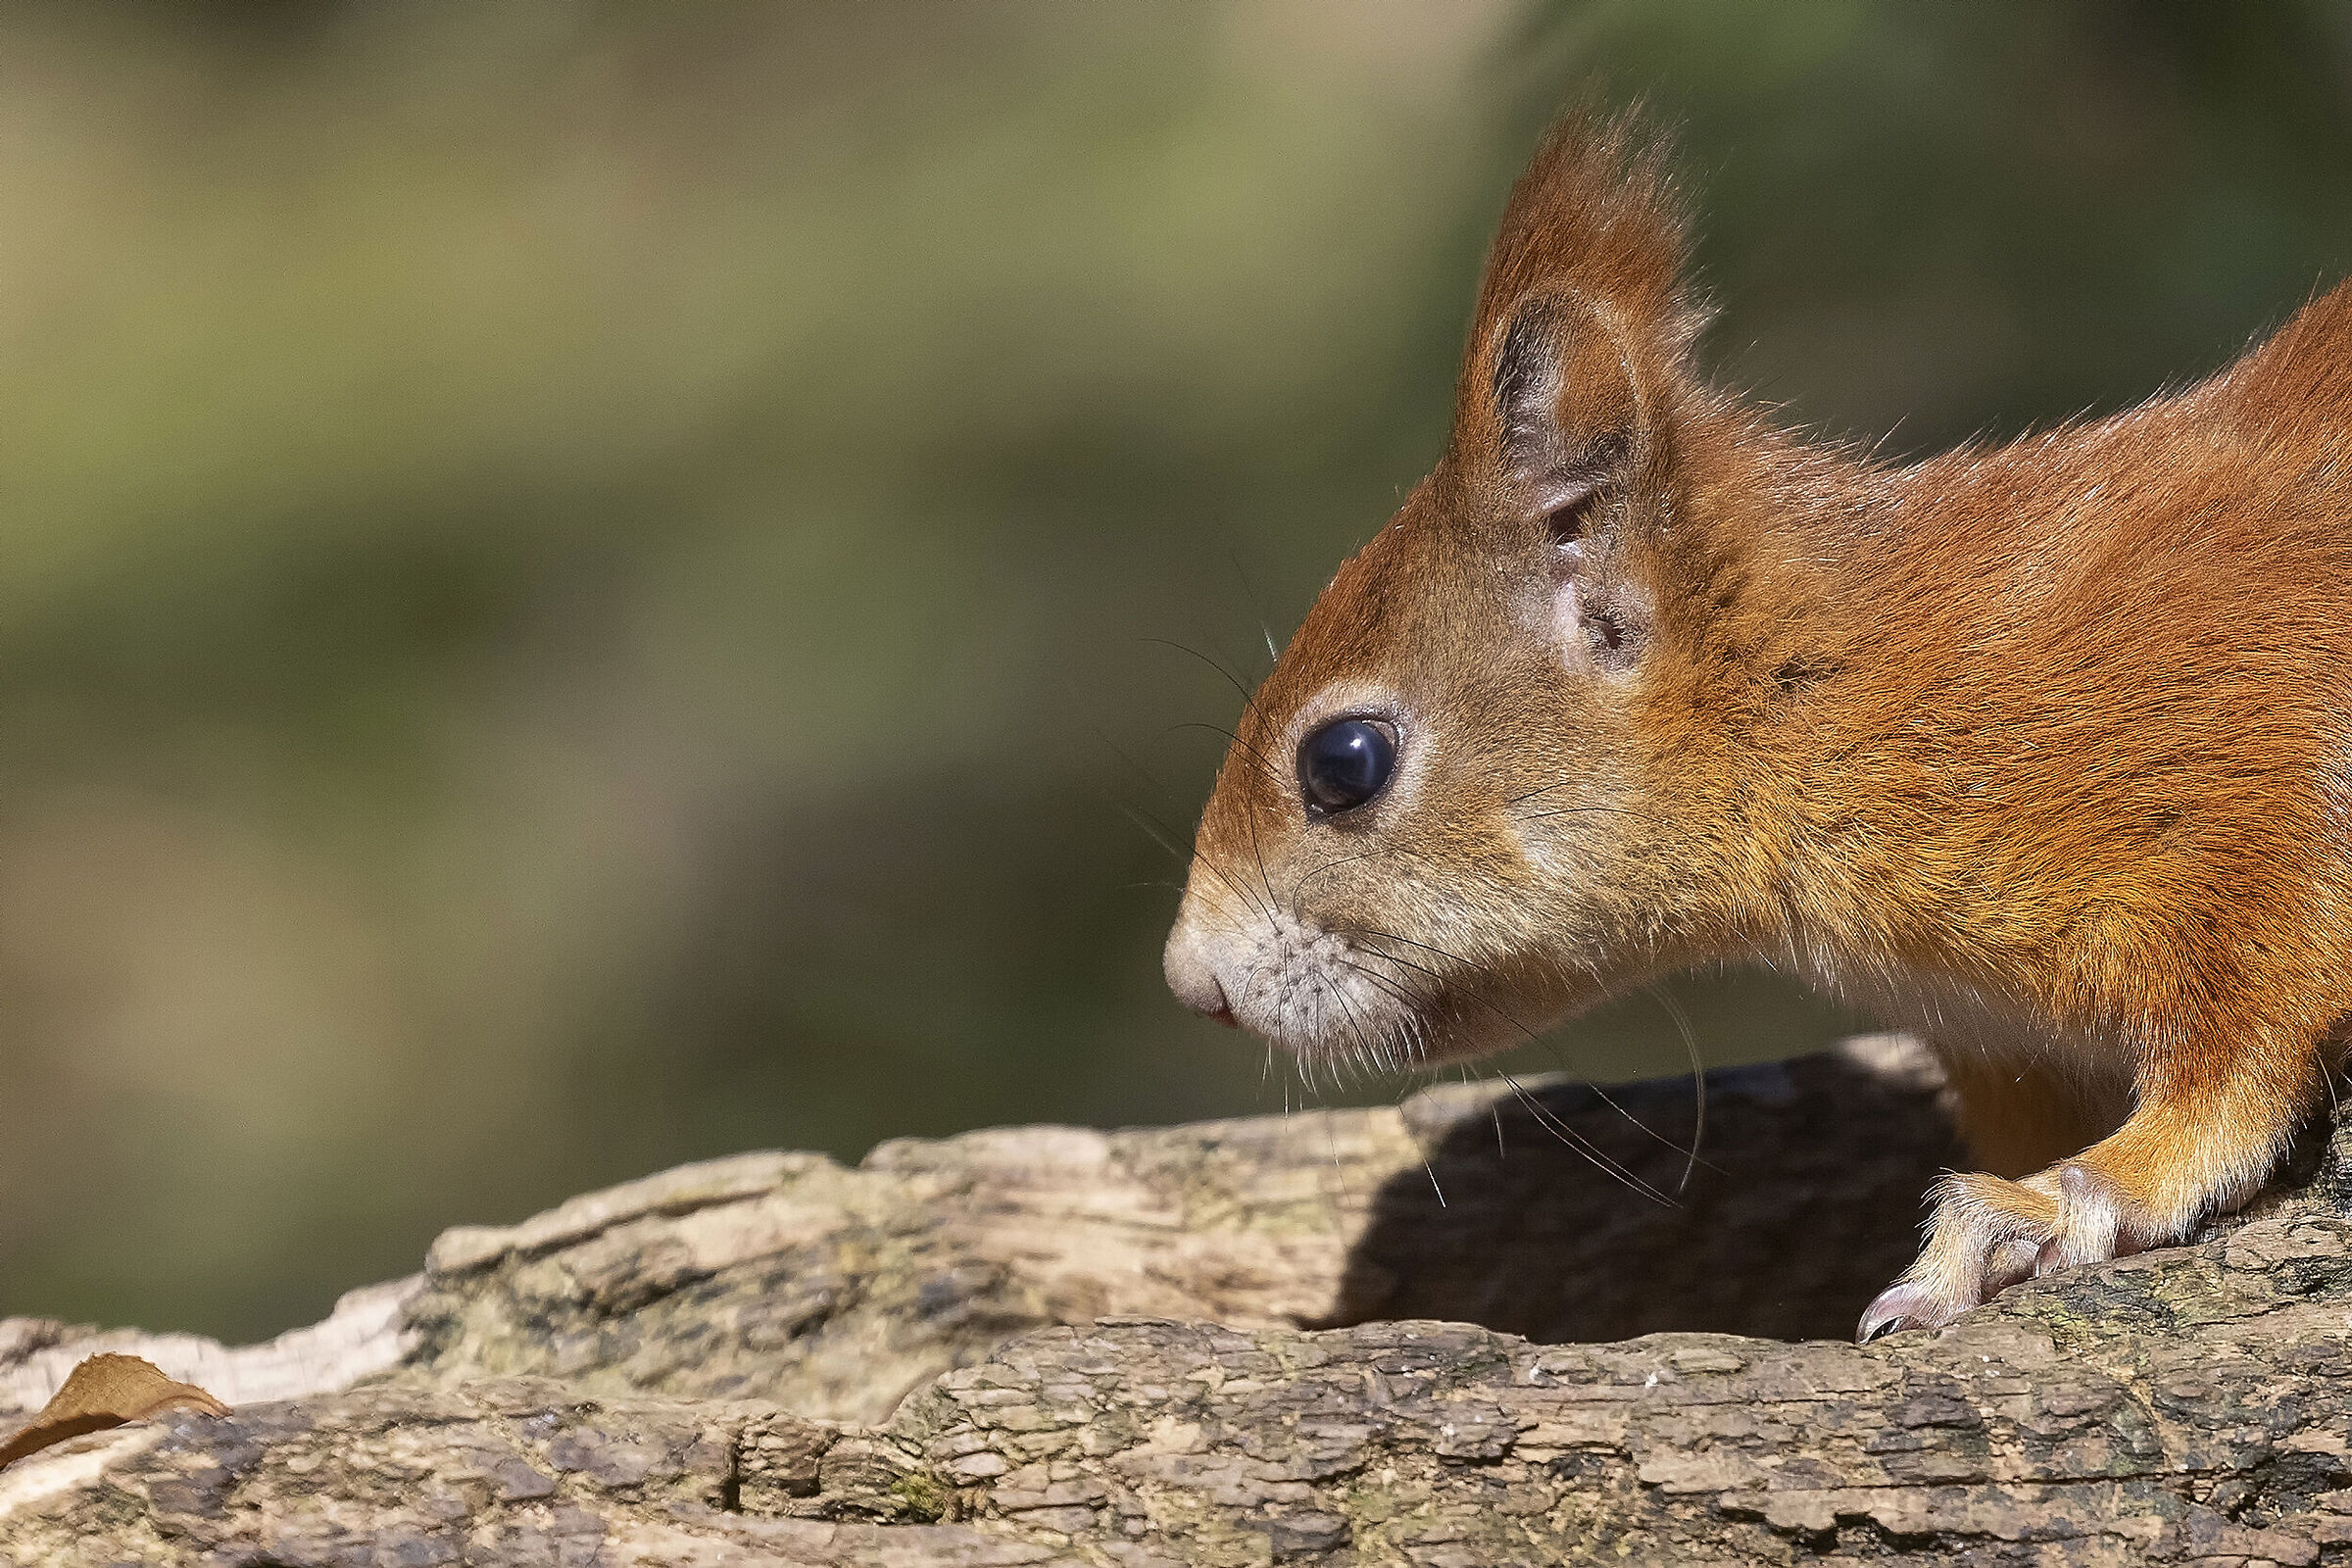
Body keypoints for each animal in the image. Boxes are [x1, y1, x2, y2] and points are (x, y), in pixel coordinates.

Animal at [1161, 109, 2352, 1341]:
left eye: (1343, 763)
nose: (1191, 984)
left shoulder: (2250, 738)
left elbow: (2247, 1040)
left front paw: (2062, 1201)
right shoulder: (2014, 1045)